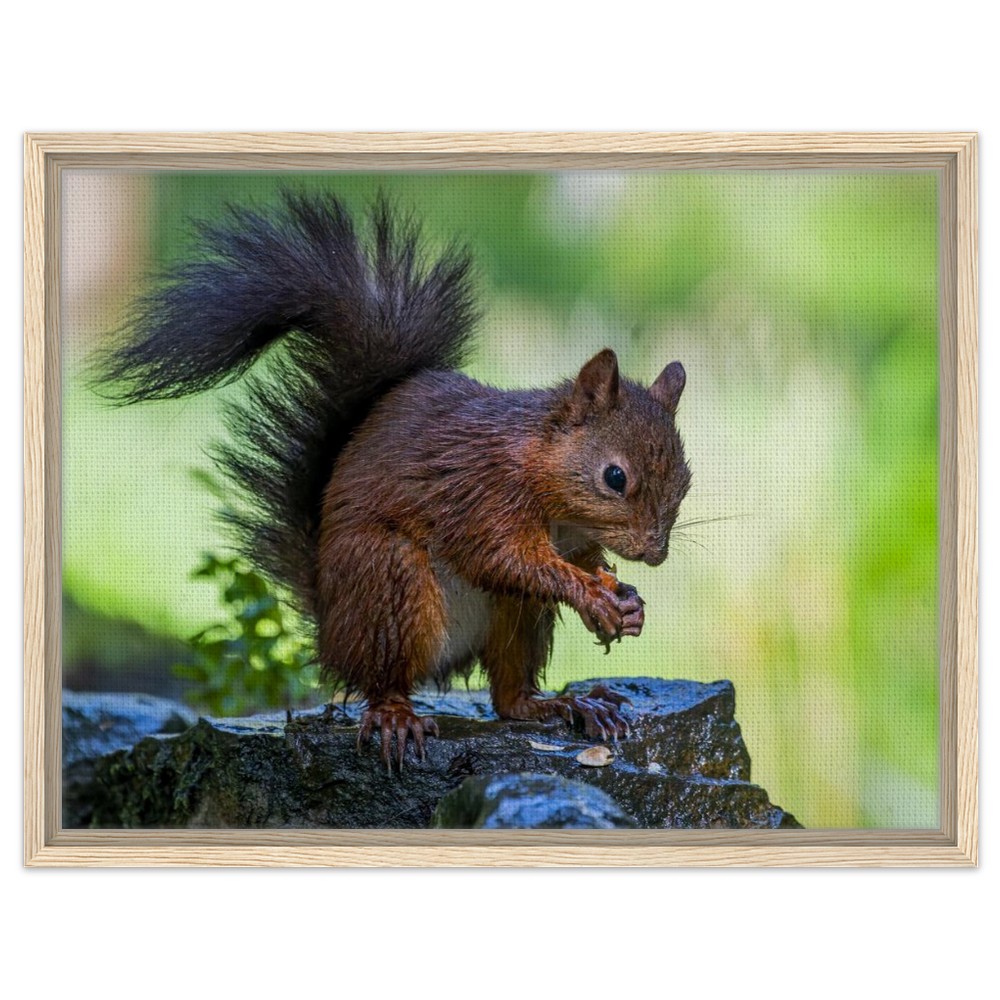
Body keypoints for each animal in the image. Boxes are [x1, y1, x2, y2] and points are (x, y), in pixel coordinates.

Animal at [98, 192, 692, 772]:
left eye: (686, 480)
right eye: (614, 477)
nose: (655, 553)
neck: (548, 486)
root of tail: (331, 628)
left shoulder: (572, 537)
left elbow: (580, 561)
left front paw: (626, 600)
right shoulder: (480, 495)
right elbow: (505, 558)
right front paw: (592, 595)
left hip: (515, 616)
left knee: (508, 695)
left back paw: (565, 704)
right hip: (389, 583)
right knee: (384, 677)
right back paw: (396, 716)